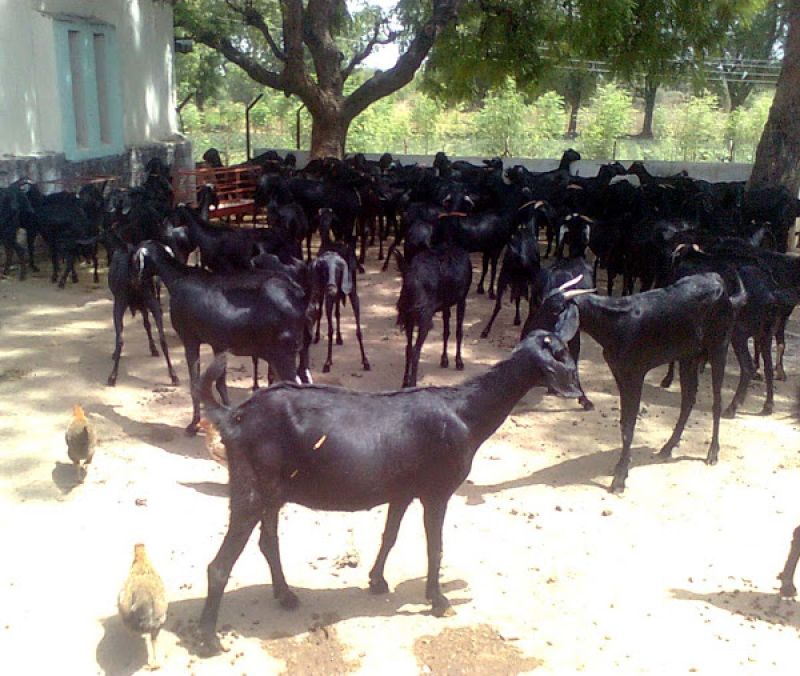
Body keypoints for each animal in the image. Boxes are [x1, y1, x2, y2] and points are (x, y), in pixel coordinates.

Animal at [193, 325, 582, 655]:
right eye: (562, 352)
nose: (579, 392)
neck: (464, 413)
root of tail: (232, 418)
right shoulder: (436, 491)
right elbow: (435, 546)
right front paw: (438, 600)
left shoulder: (402, 491)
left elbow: (390, 535)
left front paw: (377, 580)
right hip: (250, 489)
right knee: (219, 565)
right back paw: (209, 639)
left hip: (273, 492)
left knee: (267, 541)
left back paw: (285, 595)